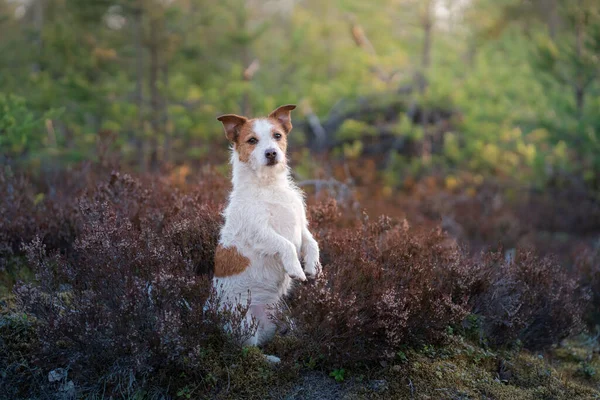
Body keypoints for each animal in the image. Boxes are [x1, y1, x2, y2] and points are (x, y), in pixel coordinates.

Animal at [213, 104, 322, 350]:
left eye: (277, 136)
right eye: (252, 140)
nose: (271, 153)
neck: (269, 186)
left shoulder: (301, 226)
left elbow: (312, 243)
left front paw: (312, 266)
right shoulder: (259, 232)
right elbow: (286, 245)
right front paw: (296, 269)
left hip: (280, 317)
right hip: (244, 323)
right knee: (246, 350)